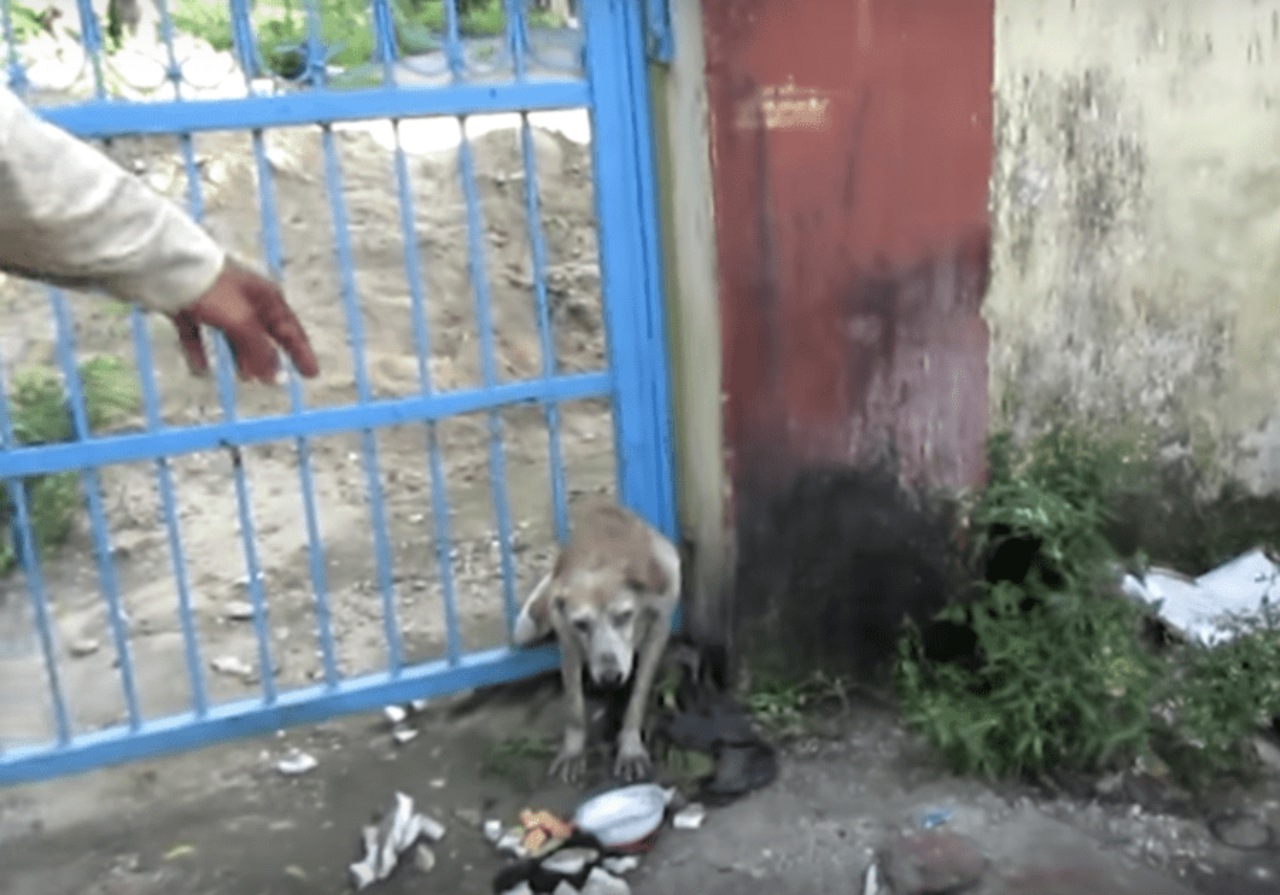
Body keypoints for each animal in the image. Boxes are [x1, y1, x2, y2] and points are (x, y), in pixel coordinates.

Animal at [514, 504, 686, 783]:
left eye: (624, 615)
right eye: (581, 624)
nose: (610, 678)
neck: (601, 563)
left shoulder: (659, 629)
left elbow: (637, 697)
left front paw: (630, 747)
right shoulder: (567, 636)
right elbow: (574, 705)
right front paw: (573, 750)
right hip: (528, 625)